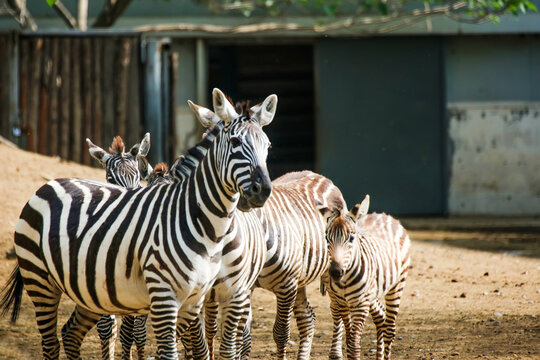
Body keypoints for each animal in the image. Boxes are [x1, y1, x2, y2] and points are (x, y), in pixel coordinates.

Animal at [0, 87, 276, 360]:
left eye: (268, 145)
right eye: (236, 142)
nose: (262, 190)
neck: (206, 227)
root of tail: (50, 183)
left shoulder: (204, 297)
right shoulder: (164, 297)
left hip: (88, 289)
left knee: (71, 334)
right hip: (40, 281)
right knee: (51, 343)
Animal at [186, 100, 348, 360]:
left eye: (267, 145)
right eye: (206, 142)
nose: (255, 193)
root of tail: (315, 173)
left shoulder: (285, 285)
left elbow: (280, 333)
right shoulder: (241, 288)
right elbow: (239, 337)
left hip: (328, 270)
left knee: (337, 310)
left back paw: (336, 352)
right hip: (301, 280)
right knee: (308, 319)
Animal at [316, 197, 410, 360]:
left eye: (351, 238)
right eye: (327, 238)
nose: (335, 272)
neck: (345, 280)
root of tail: (385, 216)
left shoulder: (360, 304)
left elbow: (354, 345)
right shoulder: (342, 303)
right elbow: (349, 340)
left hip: (397, 285)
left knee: (390, 330)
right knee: (380, 317)